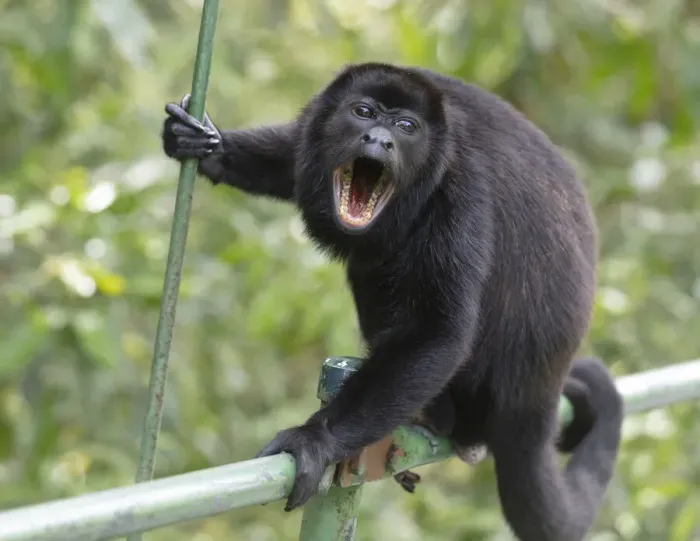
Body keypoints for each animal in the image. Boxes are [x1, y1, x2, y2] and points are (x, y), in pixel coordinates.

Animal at [161, 62, 624, 541]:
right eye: (363, 112)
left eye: (406, 128)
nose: (380, 140)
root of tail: (538, 400)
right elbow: (289, 156)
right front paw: (208, 142)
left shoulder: (461, 190)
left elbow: (437, 331)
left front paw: (315, 440)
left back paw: (441, 417)